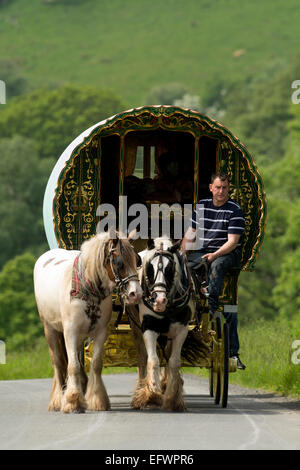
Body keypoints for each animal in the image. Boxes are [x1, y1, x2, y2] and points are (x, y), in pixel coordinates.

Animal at [34, 233, 142, 414]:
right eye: (118, 262)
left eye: (137, 260)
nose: (136, 293)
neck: (88, 290)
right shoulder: (70, 332)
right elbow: (73, 366)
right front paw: (72, 401)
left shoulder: (100, 332)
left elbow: (96, 364)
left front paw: (97, 399)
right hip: (50, 328)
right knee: (58, 362)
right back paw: (57, 399)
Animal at [132, 237, 195, 410]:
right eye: (149, 268)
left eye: (170, 268)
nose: (159, 300)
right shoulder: (149, 326)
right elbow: (153, 359)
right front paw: (152, 392)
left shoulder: (181, 329)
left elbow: (173, 362)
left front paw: (172, 396)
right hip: (136, 328)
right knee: (142, 357)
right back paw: (142, 388)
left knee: (167, 354)